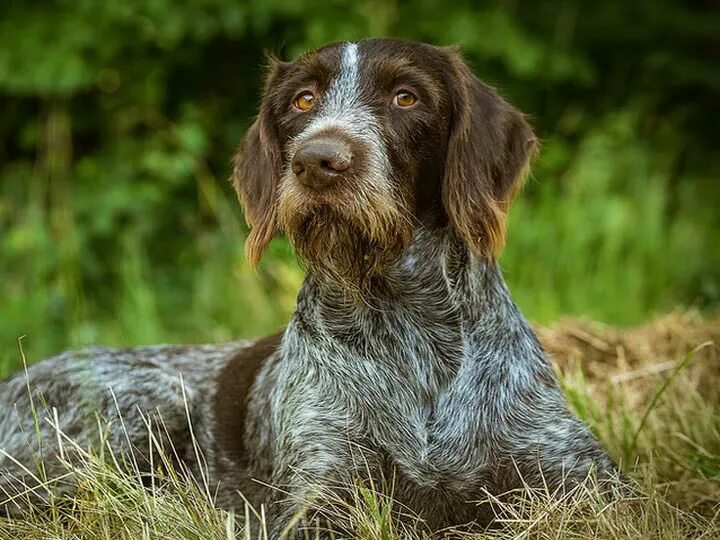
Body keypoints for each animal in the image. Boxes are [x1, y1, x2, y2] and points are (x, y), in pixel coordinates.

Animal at [0, 38, 620, 536]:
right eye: (302, 100)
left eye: (406, 97)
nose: (318, 160)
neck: (410, 321)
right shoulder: (321, 496)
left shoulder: (584, 479)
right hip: (139, 408)